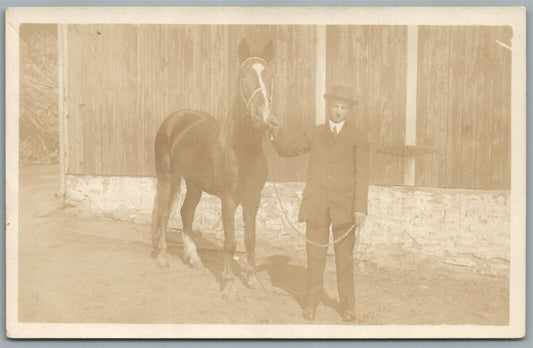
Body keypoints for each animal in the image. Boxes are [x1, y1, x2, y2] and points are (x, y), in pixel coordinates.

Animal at [151, 38, 272, 294]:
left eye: (269, 75)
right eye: (243, 75)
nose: (263, 115)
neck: (243, 149)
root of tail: (174, 118)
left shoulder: (252, 199)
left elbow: (250, 240)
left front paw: (253, 280)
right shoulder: (228, 199)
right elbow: (230, 241)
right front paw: (228, 285)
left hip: (194, 184)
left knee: (186, 212)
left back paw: (194, 258)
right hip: (167, 177)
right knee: (165, 213)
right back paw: (163, 258)